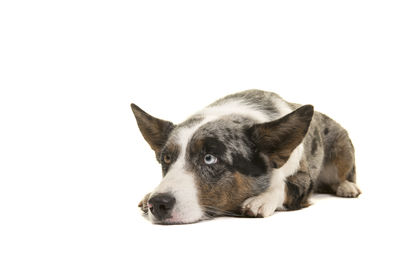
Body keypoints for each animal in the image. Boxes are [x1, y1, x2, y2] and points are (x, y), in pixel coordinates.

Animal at [130, 89, 360, 224]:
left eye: (209, 158)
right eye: (167, 159)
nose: (157, 204)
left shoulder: (304, 178)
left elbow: (284, 184)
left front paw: (261, 199)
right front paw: (148, 195)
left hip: (342, 149)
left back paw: (347, 187)